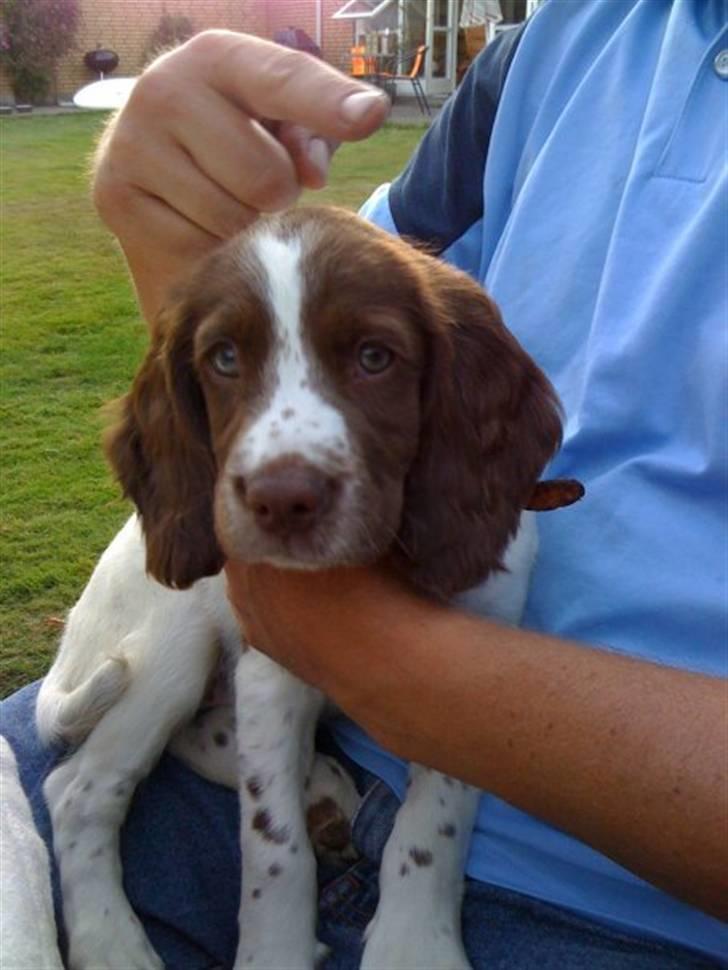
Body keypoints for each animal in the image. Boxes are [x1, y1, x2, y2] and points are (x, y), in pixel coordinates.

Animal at [37, 208, 564, 968]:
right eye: (225, 358)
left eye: (375, 357)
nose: (281, 500)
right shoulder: (272, 667)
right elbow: (273, 846)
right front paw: (274, 951)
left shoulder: (474, 665)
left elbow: (433, 823)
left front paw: (414, 945)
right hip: (171, 644)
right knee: (77, 790)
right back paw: (113, 945)